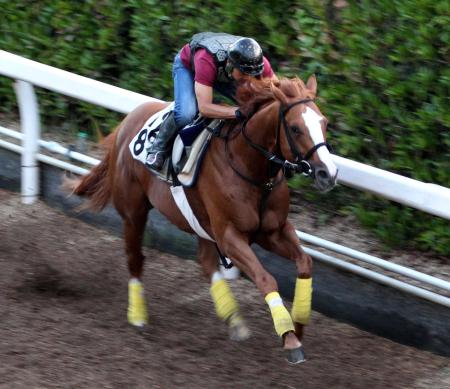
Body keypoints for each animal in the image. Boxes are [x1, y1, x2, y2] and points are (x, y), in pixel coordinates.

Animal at [67, 76, 338, 364]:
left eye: (324, 122)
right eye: (296, 128)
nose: (328, 173)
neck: (250, 166)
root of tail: (126, 123)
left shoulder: (273, 231)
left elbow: (305, 262)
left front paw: (299, 323)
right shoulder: (230, 235)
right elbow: (266, 279)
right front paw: (289, 337)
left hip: (199, 222)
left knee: (206, 263)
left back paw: (234, 319)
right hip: (134, 212)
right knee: (135, 257)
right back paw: (138, 315)